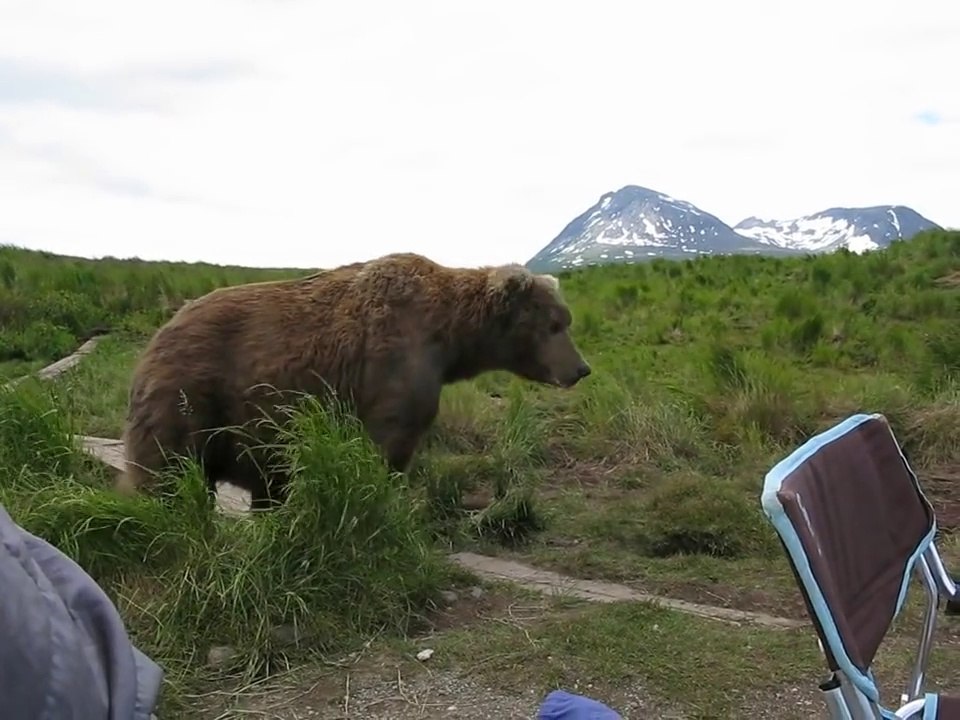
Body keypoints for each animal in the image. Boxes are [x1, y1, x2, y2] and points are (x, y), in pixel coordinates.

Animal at [116, 252, 592, 510]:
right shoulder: (393, 367)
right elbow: (387, 445)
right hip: (189, 398)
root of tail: (156, 336)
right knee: (168, 474)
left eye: (566, 320)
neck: (450, 338)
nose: (580, 369)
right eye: (554, 324)